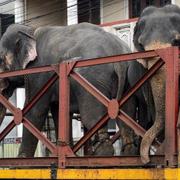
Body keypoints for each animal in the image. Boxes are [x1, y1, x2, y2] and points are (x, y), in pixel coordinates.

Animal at [0, 22, 155, 158]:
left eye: (1, 59)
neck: (31, 30)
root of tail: (118, 57)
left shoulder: (38, 71)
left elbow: (35, 111)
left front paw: (22, 160)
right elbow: (58, 110)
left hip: (93, 78)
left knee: (92, 117)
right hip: (128, 81)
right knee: (126, 116)